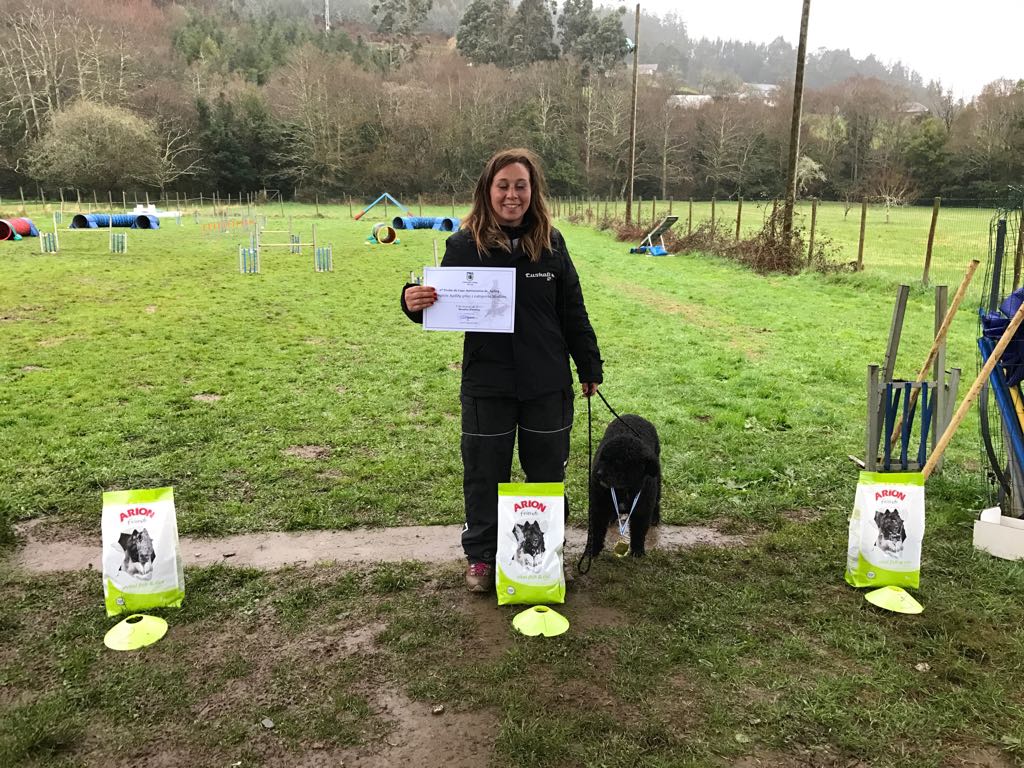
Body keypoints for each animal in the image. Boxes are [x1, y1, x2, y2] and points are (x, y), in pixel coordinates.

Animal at [589, 415, 659, 561]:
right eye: (602, 457)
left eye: (619, 462)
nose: (598, 474)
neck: (624, 490)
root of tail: (633, 415)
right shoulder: (598, 508)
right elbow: (596, 532)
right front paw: (591, 551)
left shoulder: (642, 510)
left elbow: (639, 532)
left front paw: (638, 551)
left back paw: (655, 517)